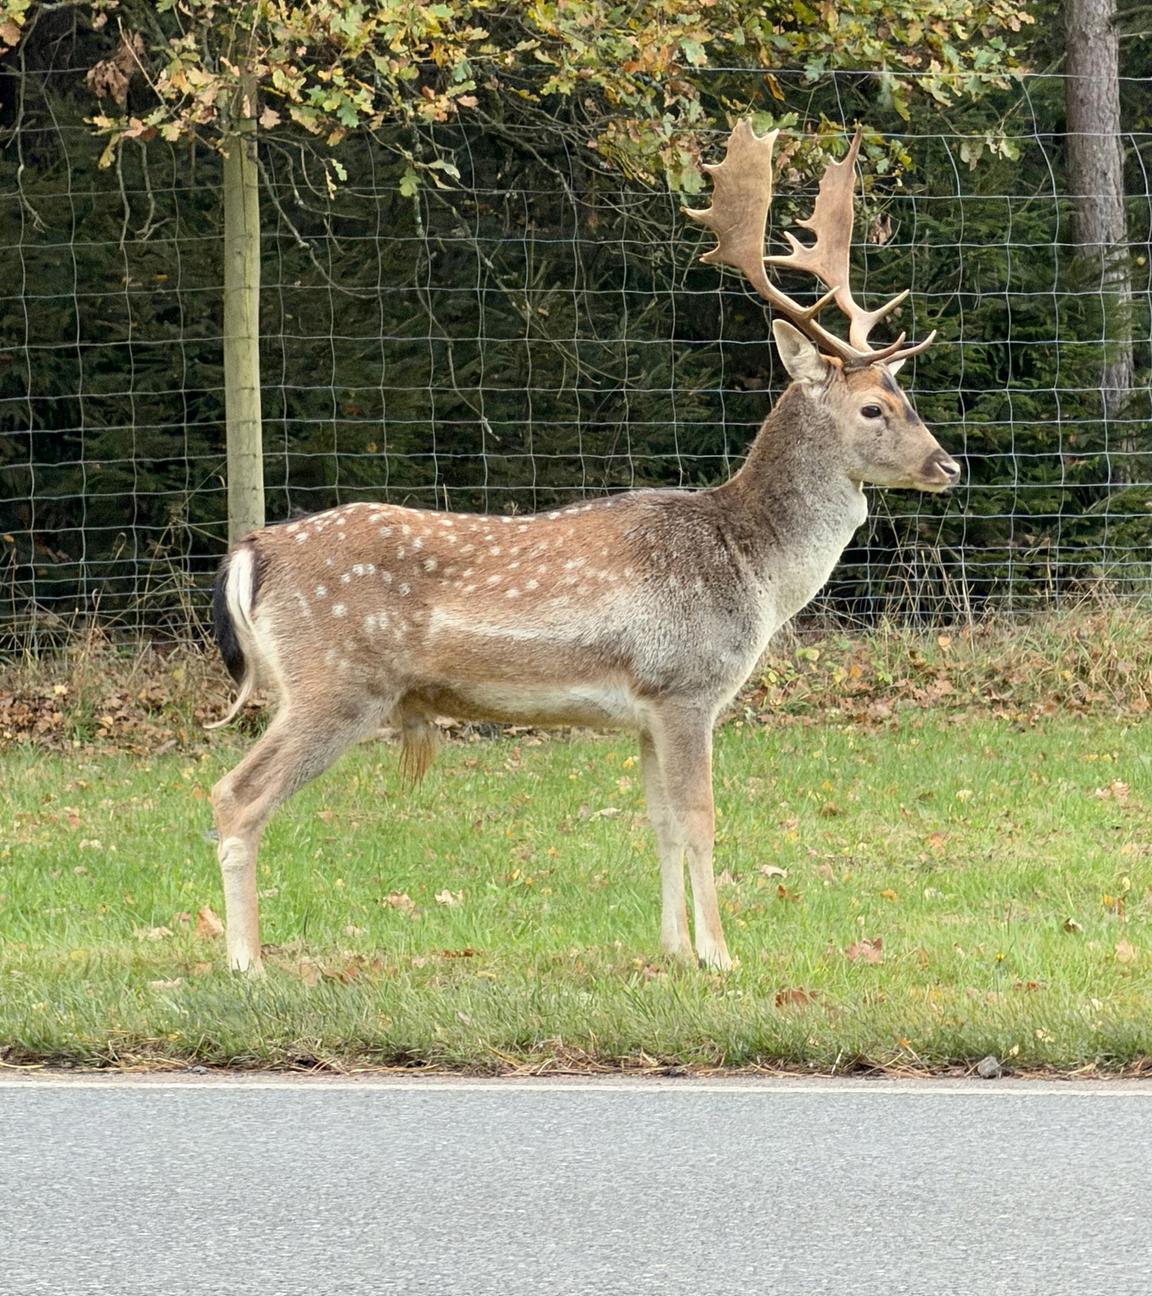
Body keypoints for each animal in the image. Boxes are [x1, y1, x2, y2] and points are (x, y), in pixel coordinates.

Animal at [208, 121, 960, 974]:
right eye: (872, 408)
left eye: (907, 397)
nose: (949, 466)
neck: (751, 566)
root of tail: (253, 552)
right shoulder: (685, 685)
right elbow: (701, 820)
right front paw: (721, 955)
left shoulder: (646, 711)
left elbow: (659, 823)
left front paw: (672, 951)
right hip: (334, 681)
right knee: (235, 795)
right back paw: (246, 963)